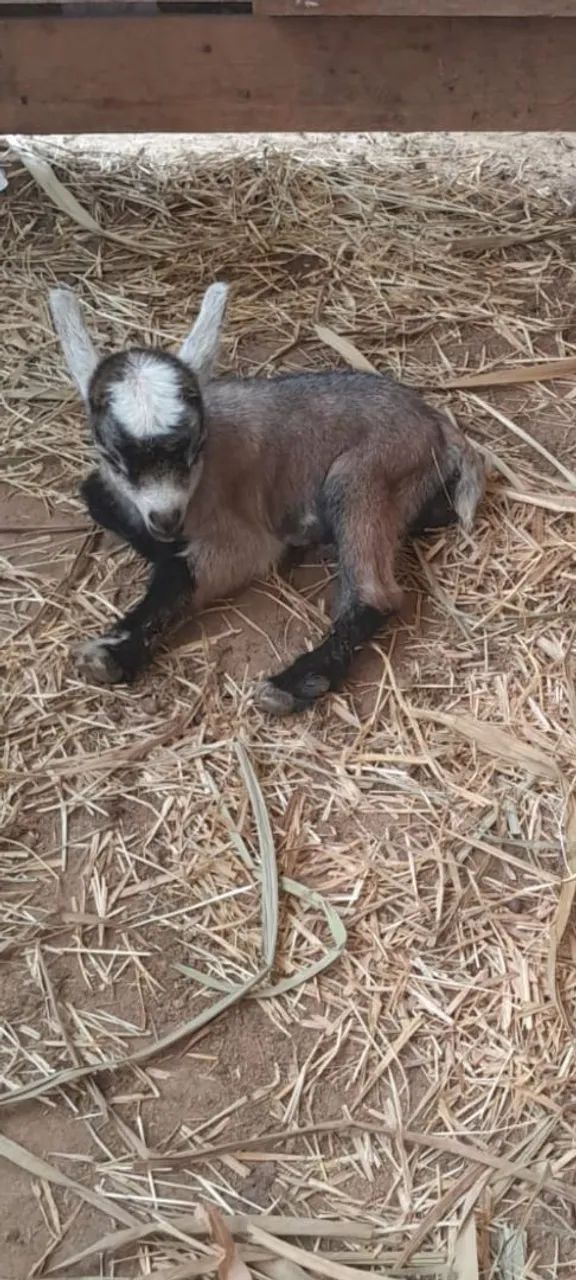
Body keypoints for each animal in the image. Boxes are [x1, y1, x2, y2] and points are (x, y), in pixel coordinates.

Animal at [49, 283, 484, 715]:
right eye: (114, 456)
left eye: (193, 448)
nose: (166, 518)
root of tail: (437, 425)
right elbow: (96, 496)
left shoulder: (240, 537)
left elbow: (185, 572)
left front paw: (111, 656)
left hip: (364, 473)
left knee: (377, 592)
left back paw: (292, 684)